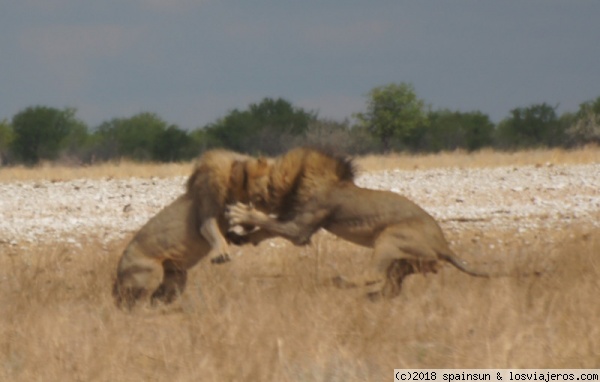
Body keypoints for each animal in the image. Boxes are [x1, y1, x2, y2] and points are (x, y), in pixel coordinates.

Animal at [227, 148, 494, 300]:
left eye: (247, 178)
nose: (235, 167)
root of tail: (445, 247)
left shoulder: (301, 229)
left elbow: (267, 223)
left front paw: (239, 214)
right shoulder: (295, 221)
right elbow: (265, 230)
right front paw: (241, 237)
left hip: (390, 237)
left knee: (374, 275)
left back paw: (341, 282)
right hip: (405, 262)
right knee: (391, 288)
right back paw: (369, 297)